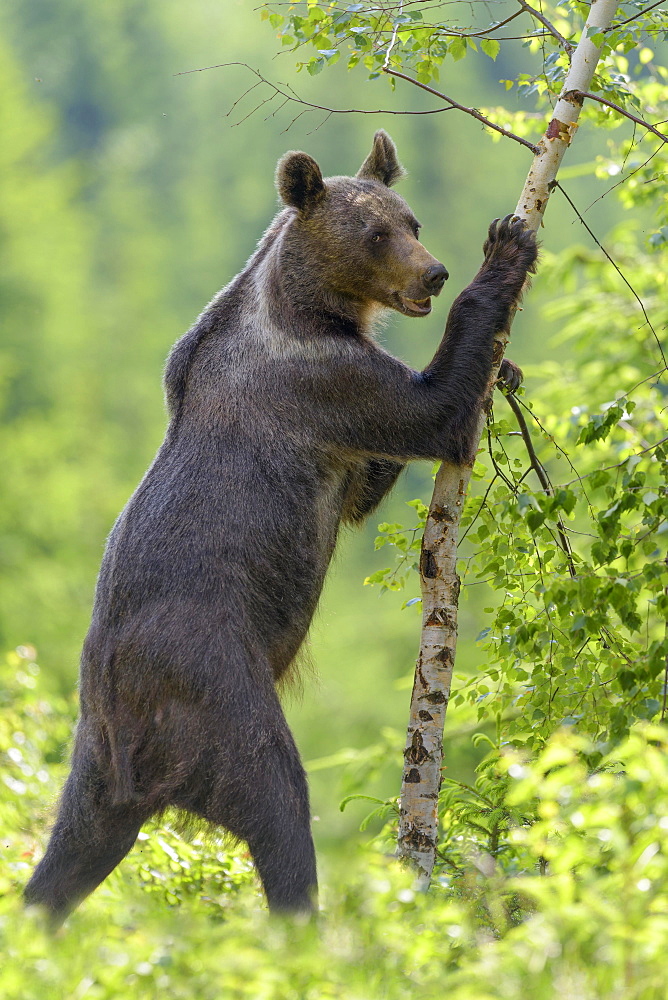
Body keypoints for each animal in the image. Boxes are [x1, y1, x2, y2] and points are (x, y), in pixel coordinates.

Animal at [24, 131, 536, 920]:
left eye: (411, 220)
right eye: (376, 233)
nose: (436, 271)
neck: (315, 307)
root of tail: (119, 736)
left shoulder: (339, 428)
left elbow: (366, 485)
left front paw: (506, 368)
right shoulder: (318, 379)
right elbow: (430, 413)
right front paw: (507, 244)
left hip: (97, 770)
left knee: (69, 853)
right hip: (209, 683)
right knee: (277, 799)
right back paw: (306, 918)